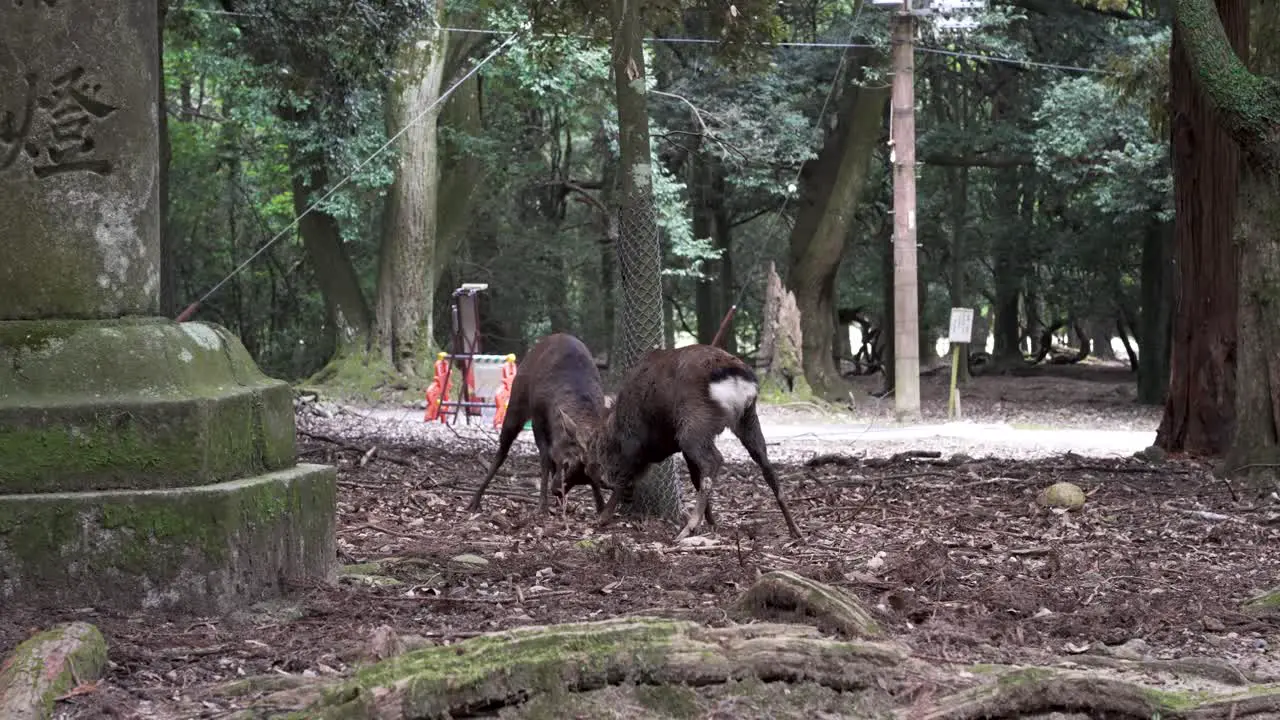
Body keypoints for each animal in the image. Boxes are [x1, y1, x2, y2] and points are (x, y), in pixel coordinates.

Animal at [465, 333, 609, 512]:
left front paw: (601, 506)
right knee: (503, 449)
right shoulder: (537, 416)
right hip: (516, 402)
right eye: (567, 464)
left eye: (586, 477)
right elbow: (545, 458)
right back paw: (475, 499)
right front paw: (542, 505)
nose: (557, 490)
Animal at [586, 340, 798, 538]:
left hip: (694, 425)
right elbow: (695, 479)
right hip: (747, 418)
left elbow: (624, 477)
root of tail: (735, 376)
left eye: (600, 447)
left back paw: (689, 526)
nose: (602, 478)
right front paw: (713, 523)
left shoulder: (634, 441)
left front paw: (603, 517)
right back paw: (795, 529)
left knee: (714, 459)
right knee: (766, 465)